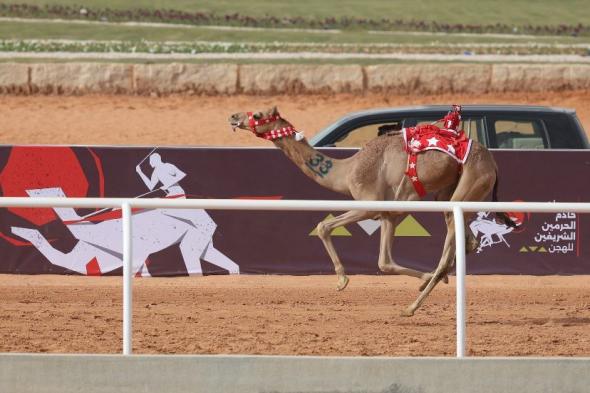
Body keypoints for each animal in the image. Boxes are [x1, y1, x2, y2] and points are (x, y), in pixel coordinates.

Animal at [229, 105, 516, 314]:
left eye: (258, 114)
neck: (345, 172)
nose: (233, 116)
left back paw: (412, 306)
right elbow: (384, 262)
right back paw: (437, 278)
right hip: (449, 193)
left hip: (471, 181)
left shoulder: (369, 205)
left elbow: (323, 226)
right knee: (467, 240)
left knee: (451, 245)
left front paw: (342, 281)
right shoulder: (390, 215)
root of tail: (493, 163)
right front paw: (425, 277)